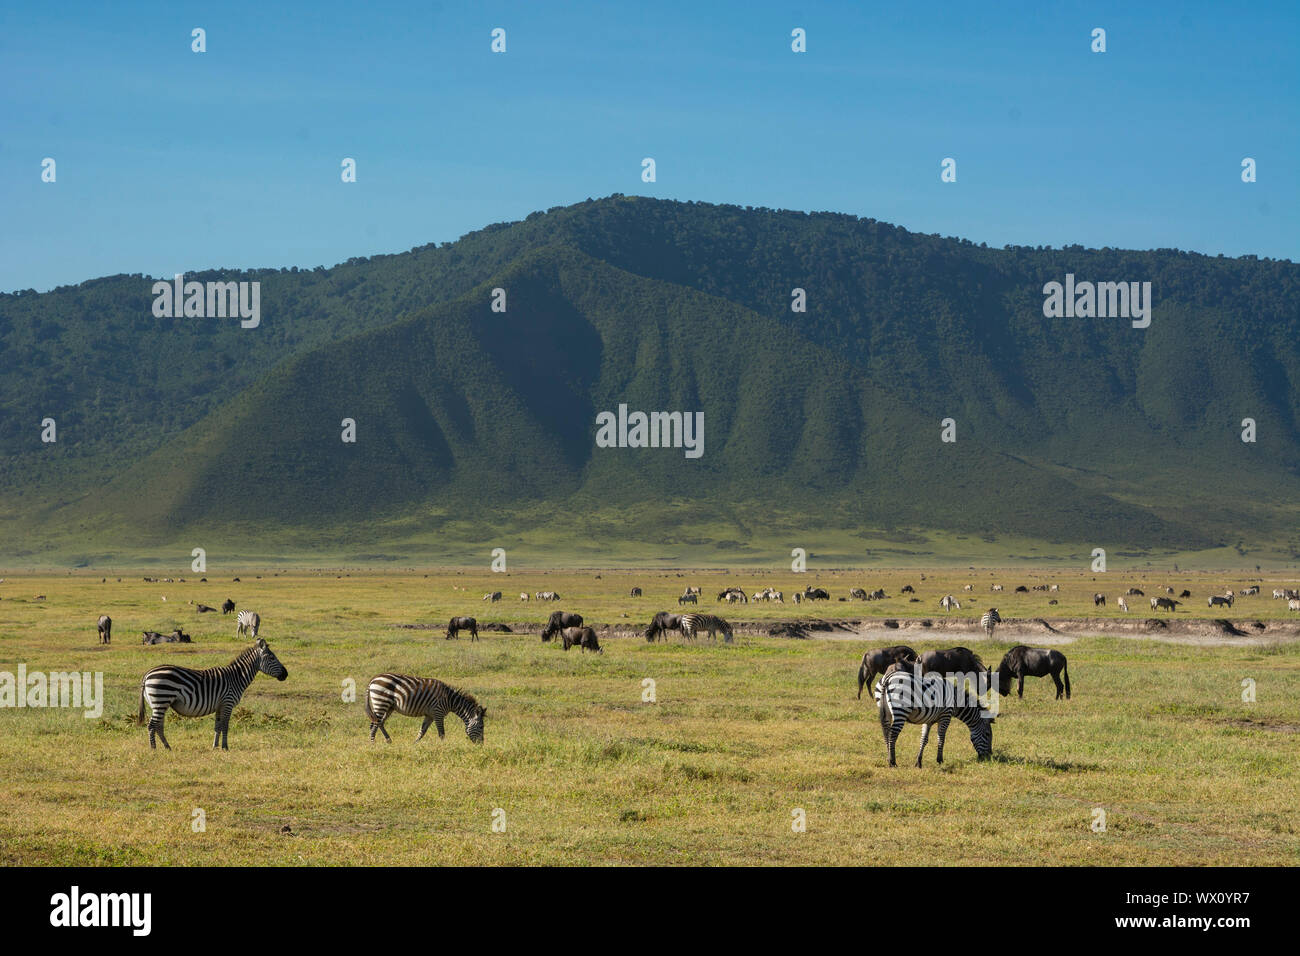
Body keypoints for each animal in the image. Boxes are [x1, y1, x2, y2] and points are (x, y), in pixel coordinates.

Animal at [135, 639, 286, 749]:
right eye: (272, 657)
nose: (286, 674)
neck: (236, 677)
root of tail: (147, 675)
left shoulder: (220, 705)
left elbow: (217, 726)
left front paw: (215, 746)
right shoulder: (228, 703)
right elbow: (225, 725)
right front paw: (225, 747)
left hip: (158, 703)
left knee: (158, 726)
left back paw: (167, 747)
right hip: (161, 700)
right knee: (151, 725)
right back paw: (153, 749)